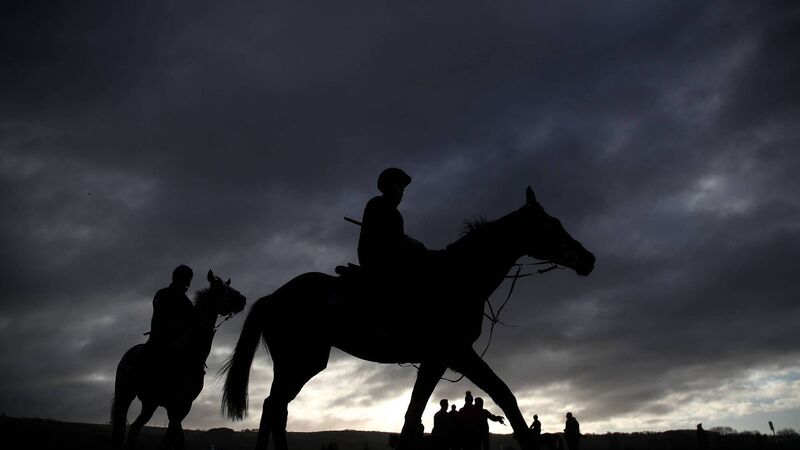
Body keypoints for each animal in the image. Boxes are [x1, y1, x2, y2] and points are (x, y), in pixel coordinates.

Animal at [111, 270, 246, 450]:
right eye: (220, 289)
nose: (242, 299)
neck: (186, 355)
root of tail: (128, 354)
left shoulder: (183, 406)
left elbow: (173, 438)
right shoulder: (173, 405)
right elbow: (176, 437)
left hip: (150, 403)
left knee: (134, 428)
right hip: (125, 395)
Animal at [221, 187, 595, 450]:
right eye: (551, 225)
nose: (588, 259)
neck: (459, 278)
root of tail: (275, 296)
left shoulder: (449, 357)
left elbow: (487, 397)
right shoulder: (451, 354)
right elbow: (427, 408)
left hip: (299, 363)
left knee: (276, 407)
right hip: (300, 361)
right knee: (274, 406)